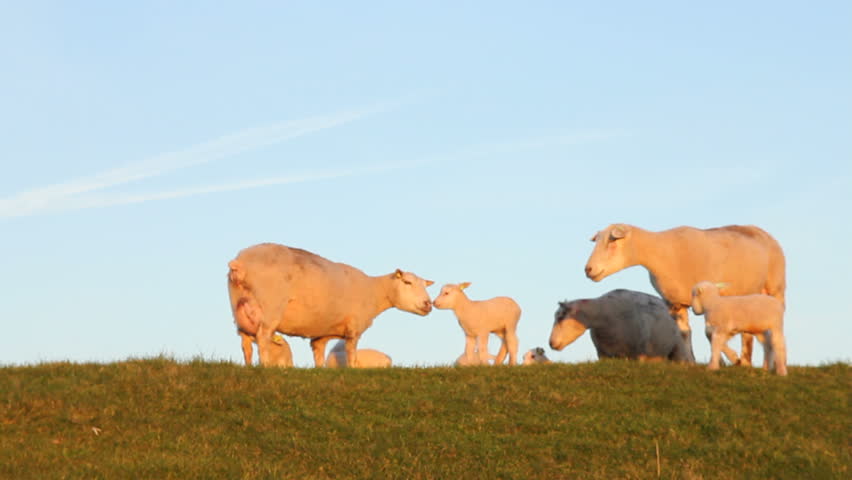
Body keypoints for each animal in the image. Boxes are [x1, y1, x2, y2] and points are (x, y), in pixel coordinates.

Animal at [228, 243, 433, 367]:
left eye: (424, 285)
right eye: (407, 282)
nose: (428, 304)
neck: (373, 291)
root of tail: (241, 262)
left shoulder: (321, 334)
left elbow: (319, 356)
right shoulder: (354, 328)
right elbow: (352, 355)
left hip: (239, 311)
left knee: (246, 344)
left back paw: (249, 366)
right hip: (270, 308)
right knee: (262, 337)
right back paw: (265, 366)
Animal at [584, 224, 786, 365]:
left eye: (612, 241)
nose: (588, 269)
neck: (661, 253)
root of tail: (759, 230)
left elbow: (709, 333)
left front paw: (728, 360)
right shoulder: (674, 303)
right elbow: (683, 334)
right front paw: (690, 361)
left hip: (776, 287)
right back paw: (746, 361)